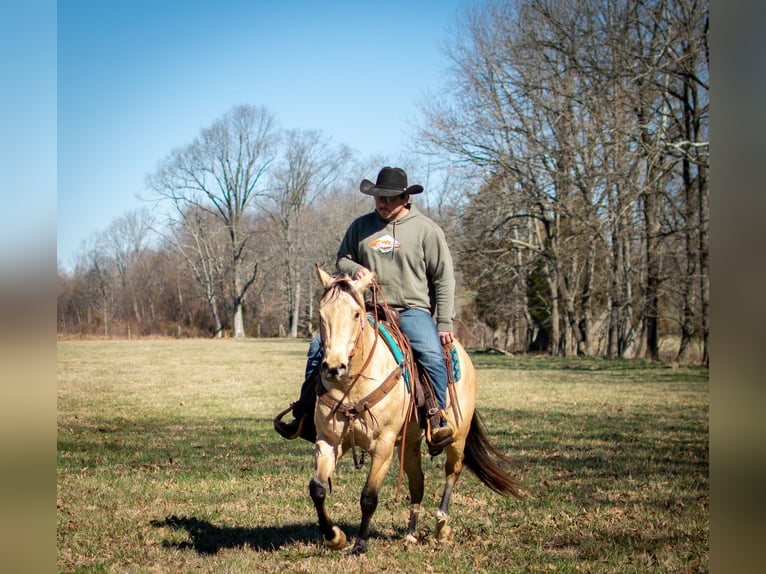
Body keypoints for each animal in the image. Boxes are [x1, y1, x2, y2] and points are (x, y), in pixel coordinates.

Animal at [308, 268, 524, 556]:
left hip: (457, 437)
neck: (353, 386)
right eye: (322, 314)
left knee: (452, 471)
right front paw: (335, 537)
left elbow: (369, 497)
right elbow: (317, 489)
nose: (334, 367)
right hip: (409, 443)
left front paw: (360, 544)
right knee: (417, 482)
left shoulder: (384, 445)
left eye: (355, 314)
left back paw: (442, 527)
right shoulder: (329, 441)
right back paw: (410, 534)